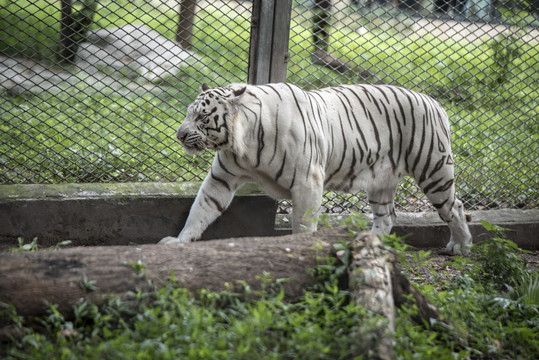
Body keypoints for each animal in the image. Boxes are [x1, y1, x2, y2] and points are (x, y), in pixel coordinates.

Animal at [159, 83, 472, 255]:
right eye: (188, 114)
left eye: (201, 117)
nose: (179, 135)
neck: (241, 144)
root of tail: (434, 102)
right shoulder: (221, 178)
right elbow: (201, 209)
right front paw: (180, 241)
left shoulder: (307, 181)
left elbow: (303, 224)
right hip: (381, 180)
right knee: (387, 216)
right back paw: (373, 243)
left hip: (433, 169)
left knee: (454, 207)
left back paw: (461, 246)